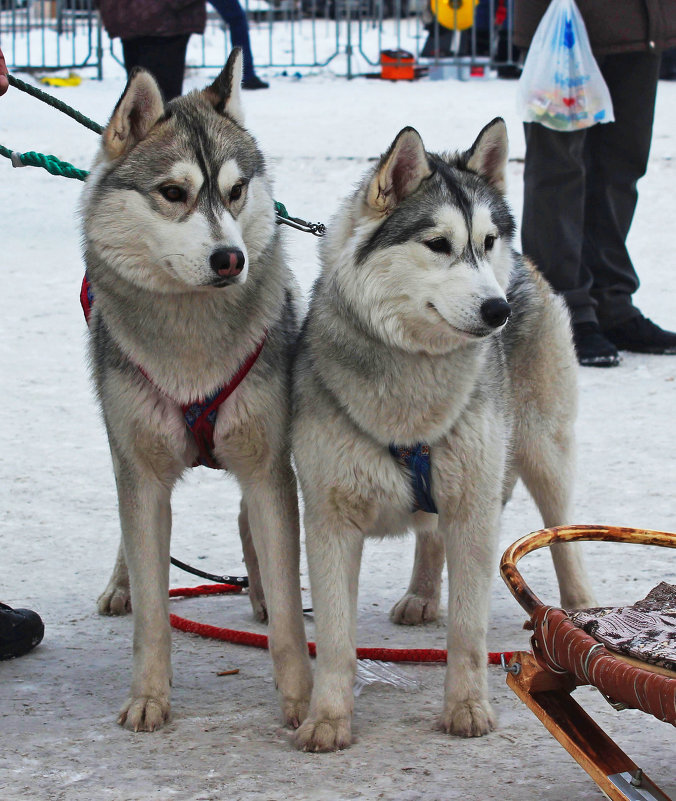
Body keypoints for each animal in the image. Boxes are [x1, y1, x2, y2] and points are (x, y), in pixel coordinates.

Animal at [82, 47, 312, 728]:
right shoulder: (141, 472)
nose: (230, 258)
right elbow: (154, 607)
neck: (192, 351)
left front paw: (301, 700)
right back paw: (121, 585)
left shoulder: (266, 464)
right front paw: (148, 696)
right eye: (173, 193)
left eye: (236, 192)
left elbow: (288, 609)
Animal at [294, 119, 596, 752]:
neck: (411, 397)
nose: (497, 309)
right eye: (437, 244)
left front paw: (467, 707)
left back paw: (582, 610)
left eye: (485, 241)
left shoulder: (475, 513)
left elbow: (468, 630)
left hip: (540, 449)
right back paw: (423, 594)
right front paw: (327, 718)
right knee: (431, 531)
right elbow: (334, 639)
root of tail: (524, 265)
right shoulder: (330, 520)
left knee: (563, 532)